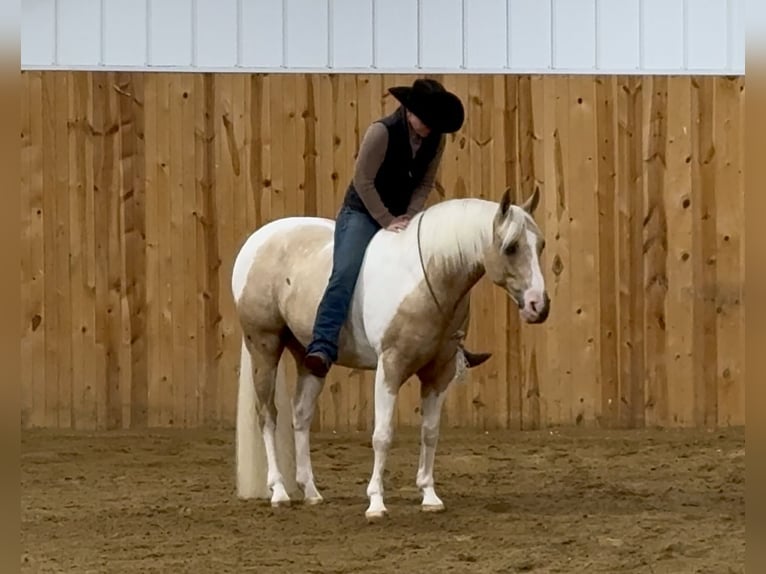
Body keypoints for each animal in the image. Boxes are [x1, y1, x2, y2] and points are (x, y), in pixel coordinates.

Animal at [231, 188, 548, 520]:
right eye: (511, 247)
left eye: (540, 245)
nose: (539, 306)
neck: (426, 276)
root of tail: (257, 241)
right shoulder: (390, 368)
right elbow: (382, 435)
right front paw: (376, 502)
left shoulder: (440, 373)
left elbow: (430, 432)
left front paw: (429, 496)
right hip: (264, 347)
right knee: (268, 416)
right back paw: (279, 491)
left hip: (309, 358)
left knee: (301, 415)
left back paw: (311, 492)